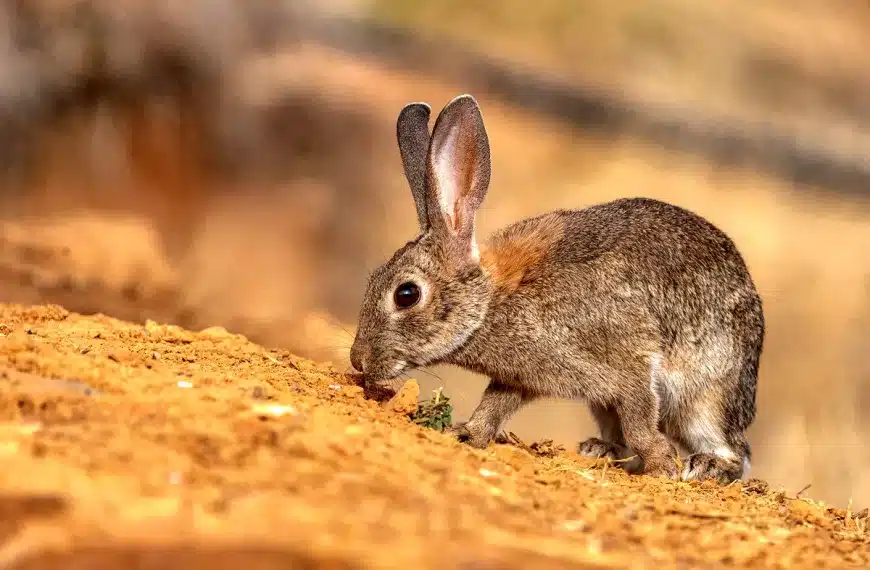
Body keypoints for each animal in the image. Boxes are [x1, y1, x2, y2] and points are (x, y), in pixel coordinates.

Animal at [350, 94, 765, 483]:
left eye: (406, 294)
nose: (359, 361)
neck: (491, 301)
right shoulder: (521, 377)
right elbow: (494, 405)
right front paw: (467, 434)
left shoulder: (629, 367)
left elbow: (641, 425)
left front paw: (664, 468)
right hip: (605, 404)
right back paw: (599, 450)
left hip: (706, 396)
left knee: (734, 451)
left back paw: (705, 465)